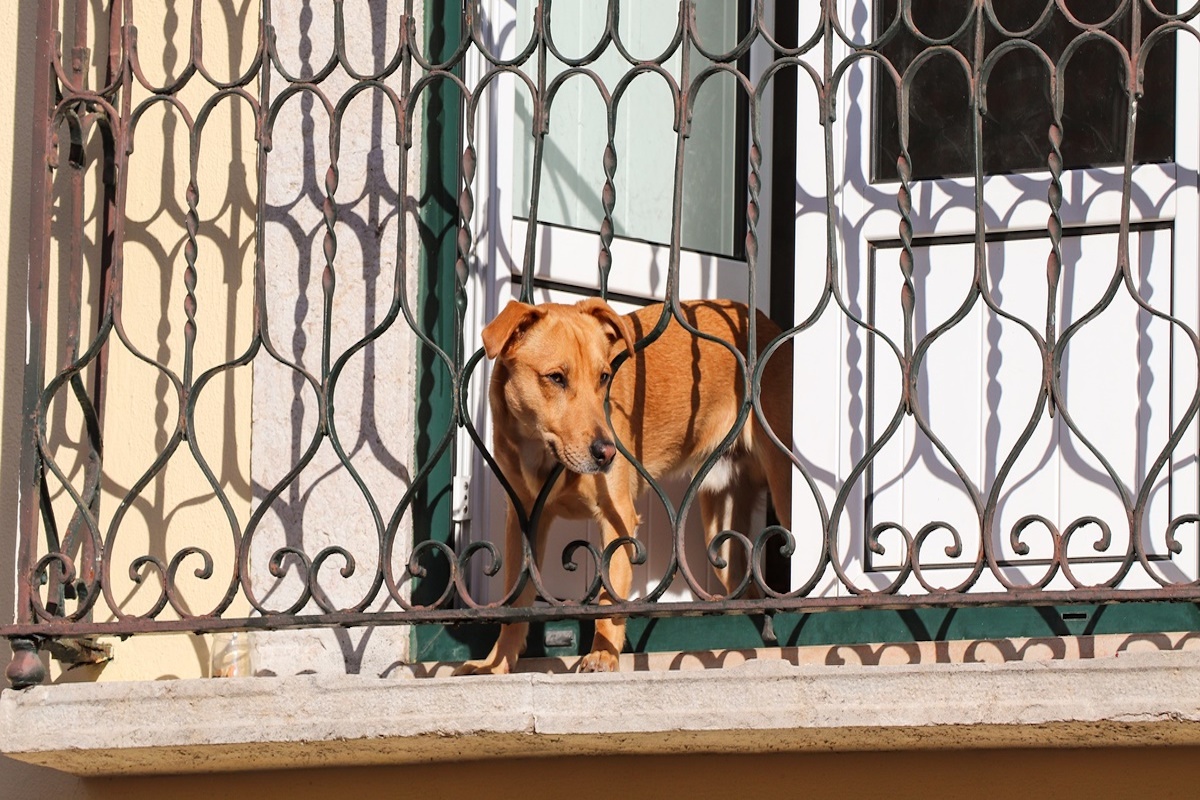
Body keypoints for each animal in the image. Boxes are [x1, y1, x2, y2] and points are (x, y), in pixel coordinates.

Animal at [453, 297, 792, 671]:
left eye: (604, 377)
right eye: (556, 378)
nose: (607, 452)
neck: (541, 453)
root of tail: (762, 320)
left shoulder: (618, 518)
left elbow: (610, 597)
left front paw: (603, 653)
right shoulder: (523, 519)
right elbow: (514, 603)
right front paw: (495, 664)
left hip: (783, 487)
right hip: (722, 526)